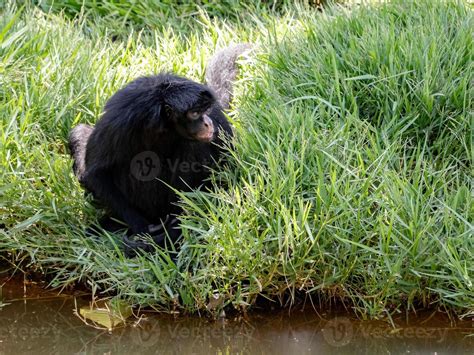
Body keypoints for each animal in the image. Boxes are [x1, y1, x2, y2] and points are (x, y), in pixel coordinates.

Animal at [68, 43, 252, 256]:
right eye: (194, 113)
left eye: (204, 111)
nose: (206, 123)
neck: (163, 123)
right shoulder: (122, 117)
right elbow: (95, 174)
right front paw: (142, 230)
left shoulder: (216, 118)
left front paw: (166, 236)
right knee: (80, 133)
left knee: (191, 145)